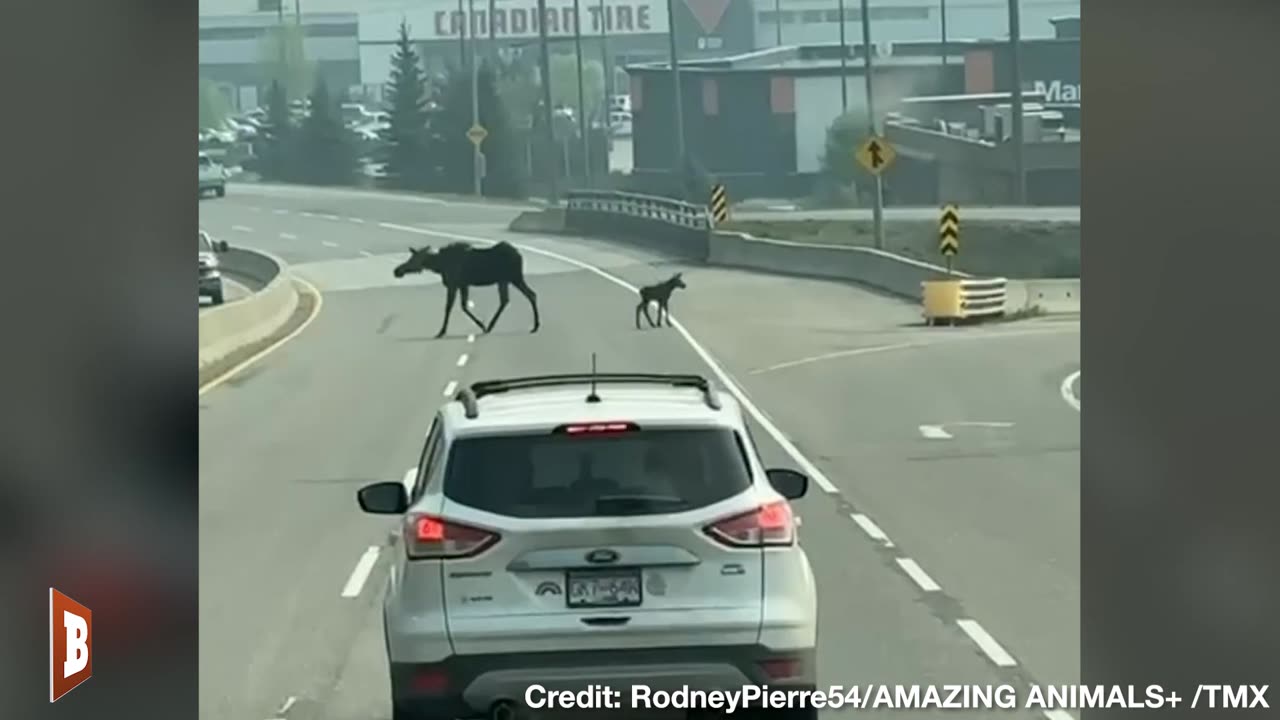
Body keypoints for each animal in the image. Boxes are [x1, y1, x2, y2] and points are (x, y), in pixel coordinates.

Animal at [389, 239, 540, 338]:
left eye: (413, 259)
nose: (397, 271)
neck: (440, 265)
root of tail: (520, 256)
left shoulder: (453, 284)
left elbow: (449, 307)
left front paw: (441, 331)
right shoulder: (463, 284)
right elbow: (463, 306)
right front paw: (482, 325)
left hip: (515, 277)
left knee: (530, 294)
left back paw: (534, 325)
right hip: (504, 280)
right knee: (509, 299)